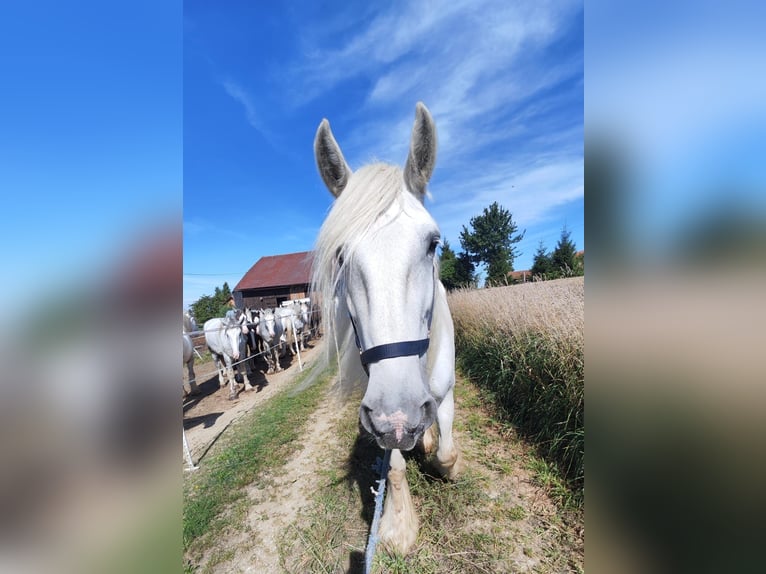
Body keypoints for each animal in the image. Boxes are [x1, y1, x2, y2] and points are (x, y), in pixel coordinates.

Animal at [312, 102, 461, 555]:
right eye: (340, 256)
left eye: (433, 243)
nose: (400, 414)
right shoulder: (379, 415)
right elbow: (393, 466)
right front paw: (399, 526)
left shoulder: (442, 393)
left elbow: (446, 453)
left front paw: (442, 458)